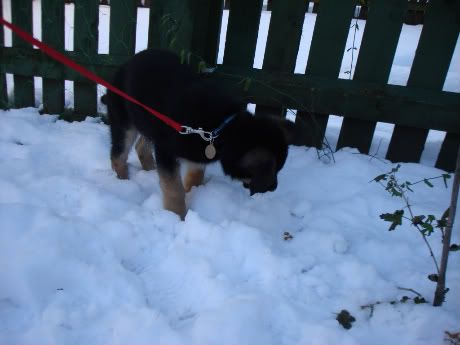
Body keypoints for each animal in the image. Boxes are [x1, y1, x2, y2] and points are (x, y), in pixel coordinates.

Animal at [105, 49, 294, 218]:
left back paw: (150, 171)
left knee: (141, 146)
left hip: (148, 120)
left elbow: (195, 176)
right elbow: (174, 189)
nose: (273, 187)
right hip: (124, 122)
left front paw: (193, 191)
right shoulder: (166, 151)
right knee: (118, 155)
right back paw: (122, 181)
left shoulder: (195, 152)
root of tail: (125, 64)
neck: (222, 128)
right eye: (275, 169)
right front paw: (177, 216)